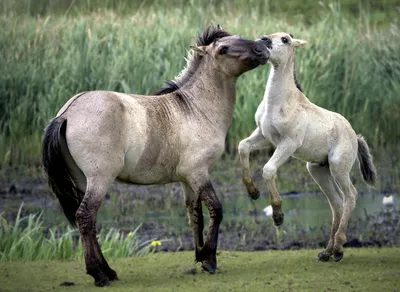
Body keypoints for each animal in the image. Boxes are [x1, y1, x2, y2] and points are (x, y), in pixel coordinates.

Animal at [42, 26, 268, 286]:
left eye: (240, 38)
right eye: (223, 49)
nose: (262, 47)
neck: (196, 109)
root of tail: (66, 113)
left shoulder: (187, 180)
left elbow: (195, 216)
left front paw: (200, 256)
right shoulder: (199, 173)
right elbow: (216, 210)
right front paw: (209, 260)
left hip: (82, 180)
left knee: (88, 221)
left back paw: (108, 271)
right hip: (99, 179)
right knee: (85, 217)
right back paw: (99, 275)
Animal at [239, 32, 376, 262]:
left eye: (285, 39)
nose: (263, 41)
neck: (278, 103)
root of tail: (355, 136)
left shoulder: (288, 143)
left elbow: (268, 170)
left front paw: (278, 215)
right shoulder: (264, 136)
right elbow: (243, 147)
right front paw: (253, 191)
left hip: (338, 168)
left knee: (350, 196)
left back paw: (339, 248)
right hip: (318, 170)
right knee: (337, 203)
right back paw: (327, 252)